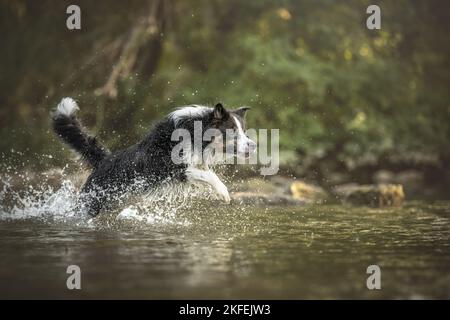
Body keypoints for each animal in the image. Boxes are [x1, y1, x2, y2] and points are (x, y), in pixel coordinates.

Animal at [51, 99, 256, 216]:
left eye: (244, 130)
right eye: (233, 131)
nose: (254, 145)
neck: (194, 132)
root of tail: (104, 160)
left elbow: (205, 173)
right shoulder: (173, 167)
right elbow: (210, 175)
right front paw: (223, 191)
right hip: (92, 201)